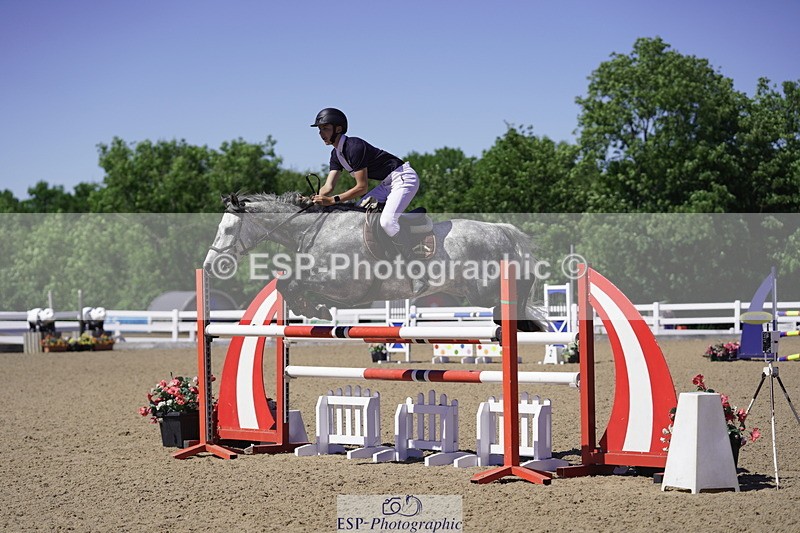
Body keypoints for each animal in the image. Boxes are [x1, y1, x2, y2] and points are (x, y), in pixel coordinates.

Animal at [204, 192, 544, 331]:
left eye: (229, 229)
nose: (210, 265)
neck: (315, 229)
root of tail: (502, 229)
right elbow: (288, 284)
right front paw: (313, 309)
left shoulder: (345, 286)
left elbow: (291, 282)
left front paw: (315, 309)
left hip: (485, 289)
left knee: (520, 292)